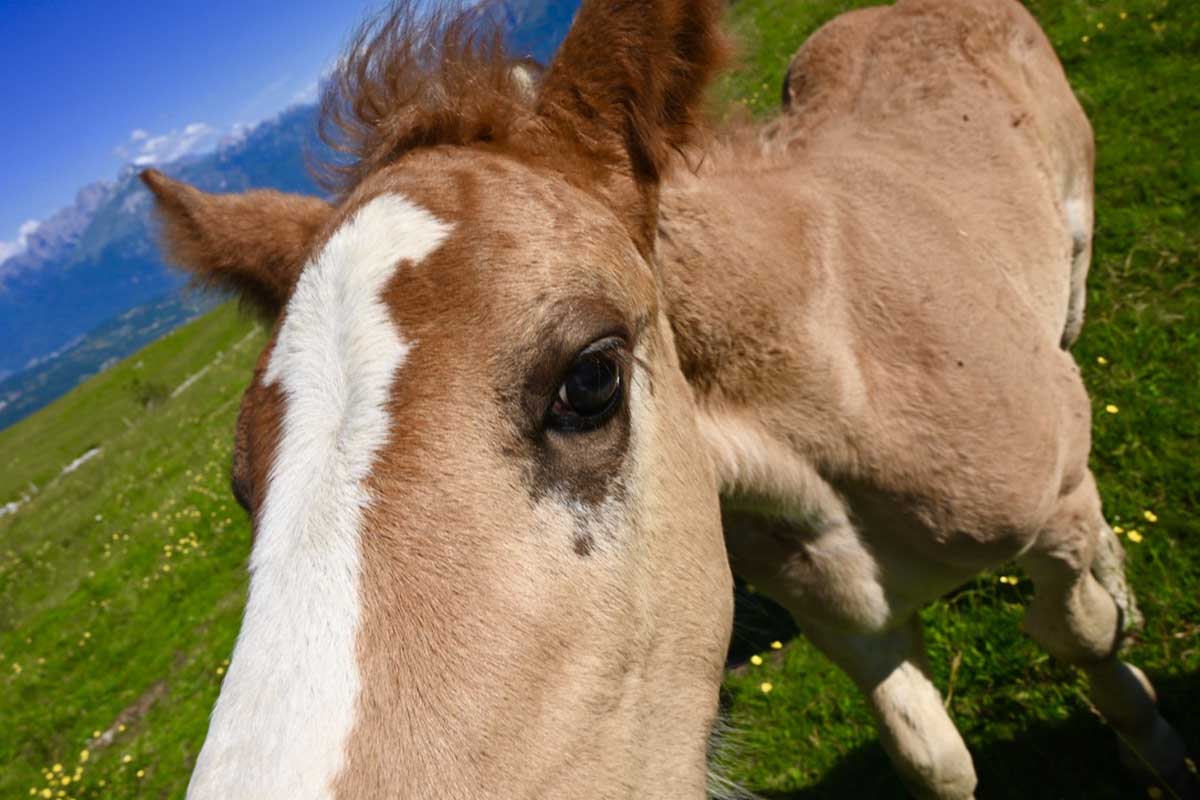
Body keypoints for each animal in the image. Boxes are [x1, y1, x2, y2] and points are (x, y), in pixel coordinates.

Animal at [142, 0, 1188, 797]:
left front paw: (1158, 744)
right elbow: (934, 758)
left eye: (591, 380)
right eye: (243, 483)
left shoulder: (1050, 497)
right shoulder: (849, 622)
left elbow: (1083, 630)